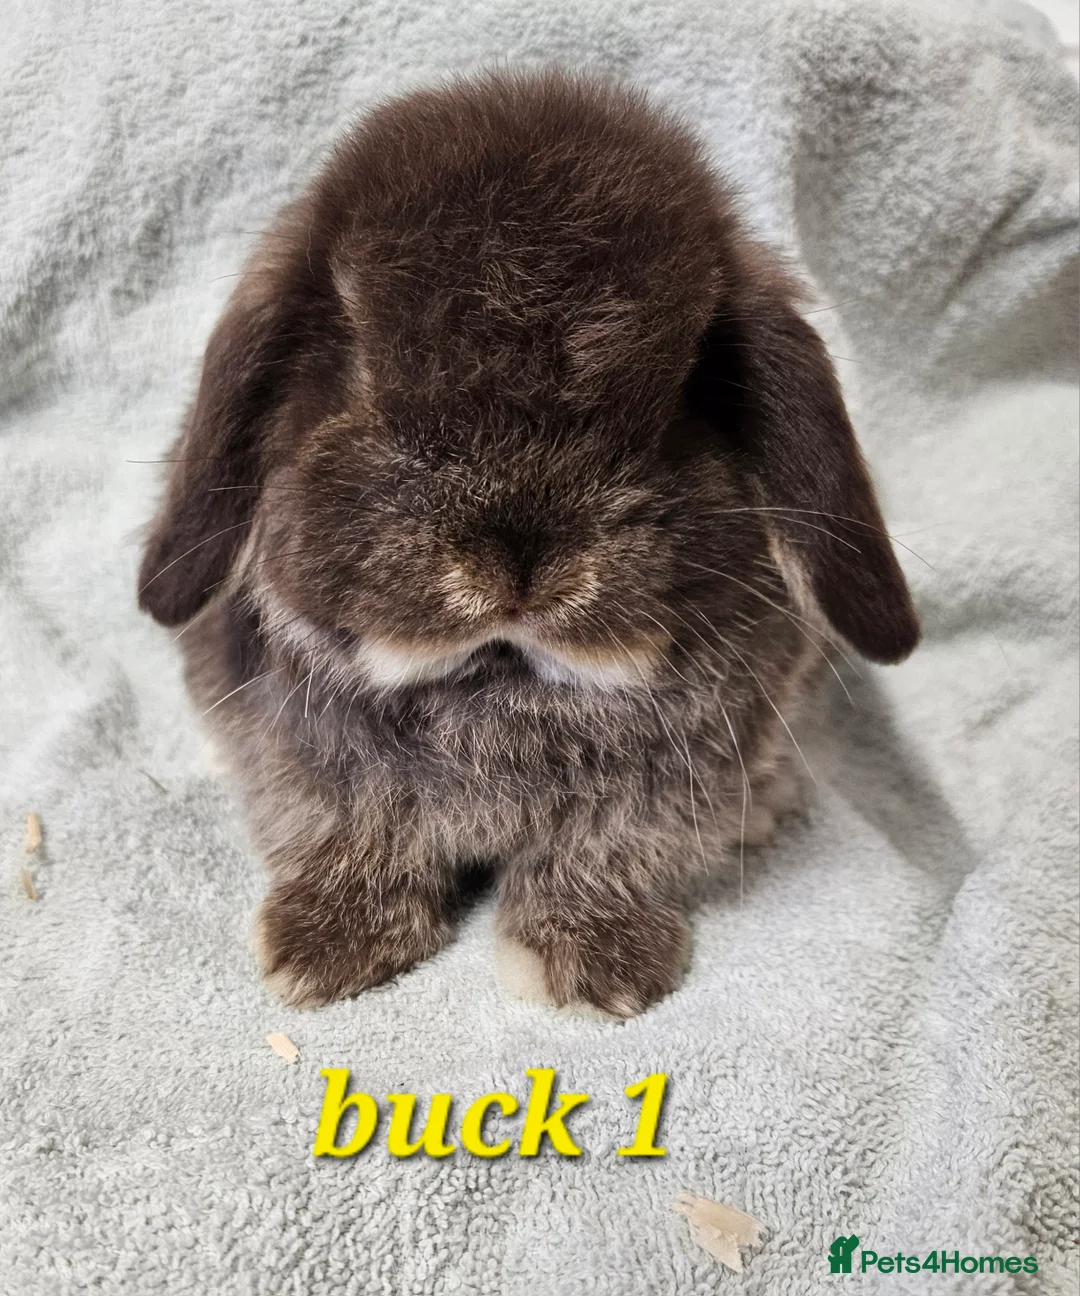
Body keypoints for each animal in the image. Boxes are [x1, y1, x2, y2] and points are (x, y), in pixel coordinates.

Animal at [137, 70, 918, 1017]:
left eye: (687, 387)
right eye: (355, 355)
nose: (516, 561)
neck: (498, 685)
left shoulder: (660, 797)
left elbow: (597, 857)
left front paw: (595, 968)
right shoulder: (304, 764)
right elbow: (351, 833)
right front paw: (321, 950)